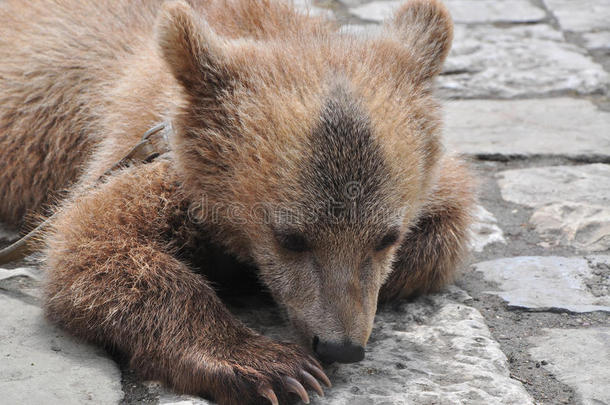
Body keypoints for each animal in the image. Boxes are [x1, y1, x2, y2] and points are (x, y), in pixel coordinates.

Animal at [0, 0, 472, 402]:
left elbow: (447, 225)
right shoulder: (146, 150)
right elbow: (89, 244)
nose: (341, 347)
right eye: (291, 237)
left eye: (387, 237)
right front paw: (274, 367)